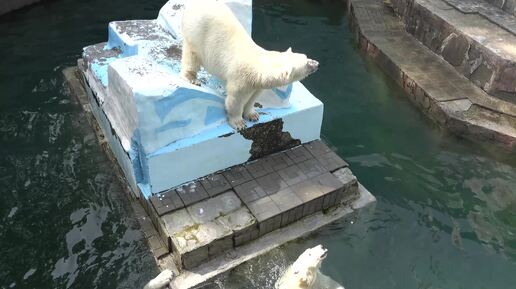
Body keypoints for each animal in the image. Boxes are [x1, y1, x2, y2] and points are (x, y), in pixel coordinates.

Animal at [181, 0, 318, 129]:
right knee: (192, 57)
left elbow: (253, 98)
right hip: (197, 34)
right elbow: (235, 100)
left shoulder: (257, 84)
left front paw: (253, 115)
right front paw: (239, 123)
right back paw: (192, 78)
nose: (317, 64)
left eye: (306, 57)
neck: (259, 68)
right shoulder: (241, 78)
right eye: (307, 64)